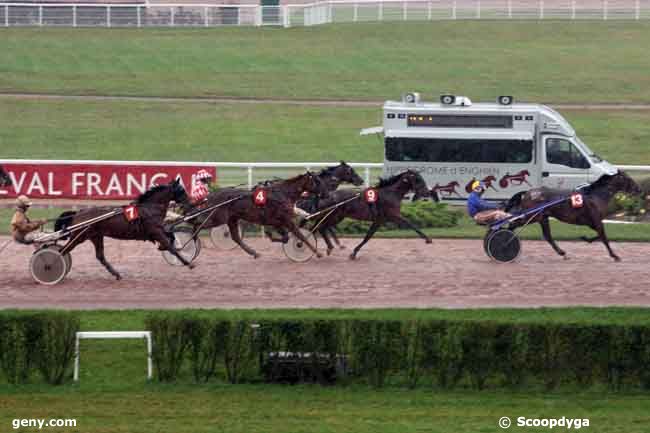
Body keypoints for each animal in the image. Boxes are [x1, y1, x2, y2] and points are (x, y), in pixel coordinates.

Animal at [54, 177, 192, 278]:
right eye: (182, 191)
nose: (190, 203)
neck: (148, 209)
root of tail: (78, 212)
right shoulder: (155, 231)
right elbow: (170, 246)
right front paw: (188, 263)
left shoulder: (158, 230)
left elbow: (171, 236)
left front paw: (167, 247)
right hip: (80, 236)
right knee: (62, 251)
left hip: (96, 236)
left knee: (100, 256)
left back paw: (116, 274)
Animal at [506, 171, 636, 260]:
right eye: (628, 179)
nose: (638, 189)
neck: (595, 196)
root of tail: (529, 192)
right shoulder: (596, 219)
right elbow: (603, 237)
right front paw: (614, 255)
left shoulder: (592, 222)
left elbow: (599, 235)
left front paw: (585, 238)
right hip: (533, 216)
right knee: (513, 224)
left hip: (542, 217)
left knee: (547, 236)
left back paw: (562, 252)